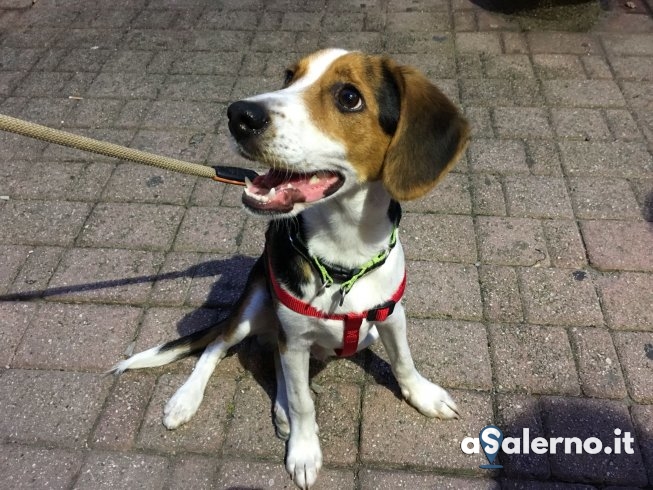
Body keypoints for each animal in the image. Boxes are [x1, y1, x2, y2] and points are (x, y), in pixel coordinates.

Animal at [112, 47, 468, 488]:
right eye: (288, 76)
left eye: (349, 97)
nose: (239, 115)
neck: (343, 259)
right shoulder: (295, 338)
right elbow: (303, 402)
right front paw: (304, 449)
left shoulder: (389, 315)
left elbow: (403, 361)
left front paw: (422, 395)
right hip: (254, 306)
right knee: (220, 345)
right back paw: (186, 400)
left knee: (276, 359)